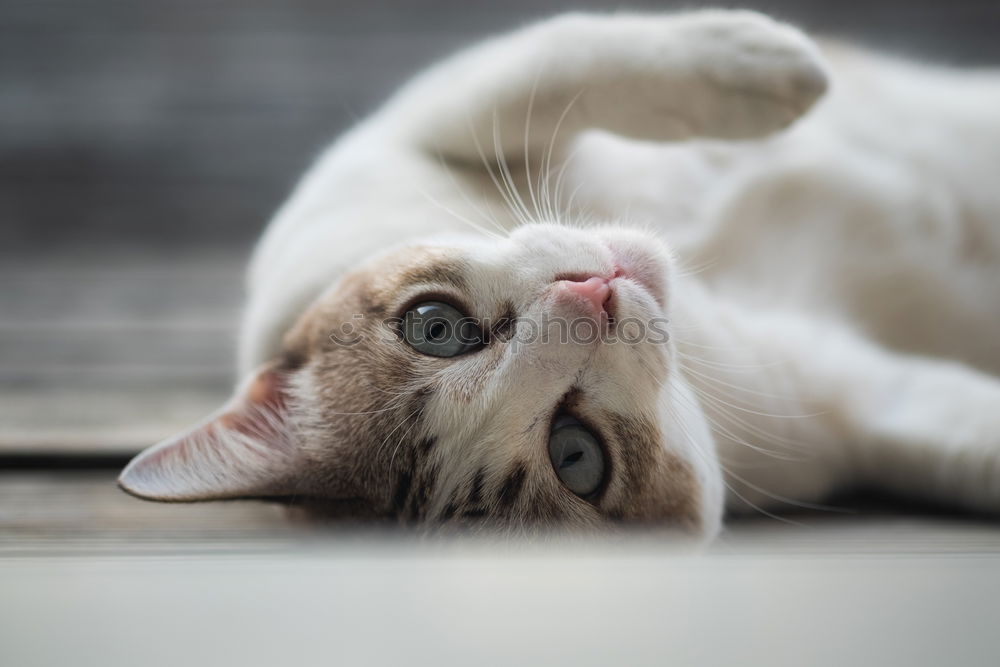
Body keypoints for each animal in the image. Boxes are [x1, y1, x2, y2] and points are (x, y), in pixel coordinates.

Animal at [119, 10, 1000, 544]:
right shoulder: (850, 405)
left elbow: (539, 70)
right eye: (576, 455)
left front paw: (764, 62)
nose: (590, 297)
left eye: (434, 326)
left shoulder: (396, 134)